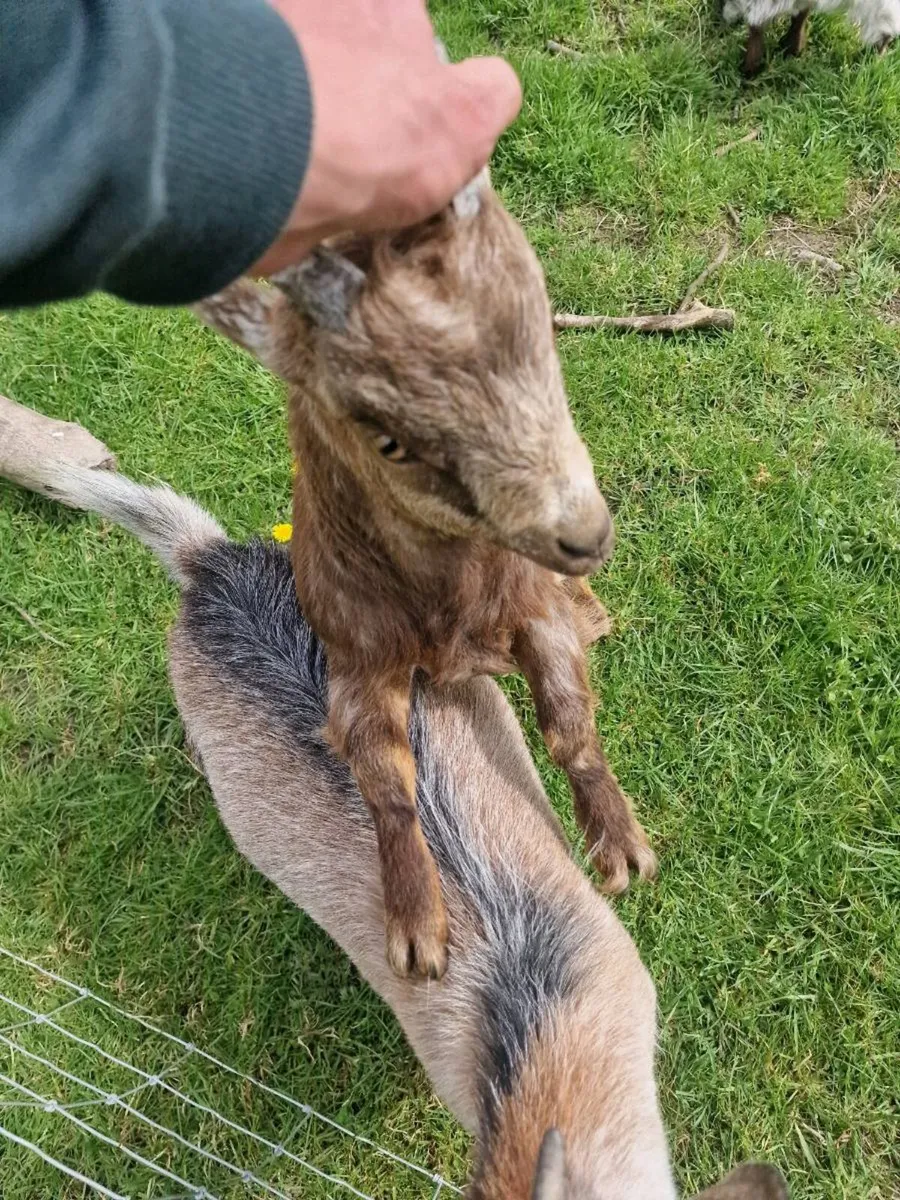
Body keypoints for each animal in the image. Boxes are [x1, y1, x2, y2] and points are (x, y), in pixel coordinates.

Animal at [191, 169, 656, 982]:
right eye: (390, 440)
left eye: (543, 334)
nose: (586, 534)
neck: (450, 607)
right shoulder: (356, 662)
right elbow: (386, 785)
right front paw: (418, 935)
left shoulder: (535, 608)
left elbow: (569, 724)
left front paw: (621, 849)